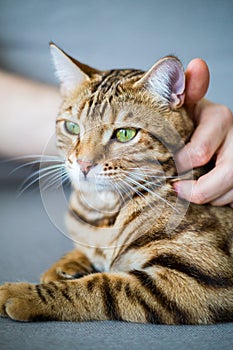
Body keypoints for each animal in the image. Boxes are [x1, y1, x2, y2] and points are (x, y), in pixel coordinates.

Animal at [0, 42, 233, 324]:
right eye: (72, 128)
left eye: (124, 134)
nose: (83, 164)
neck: (104, 211)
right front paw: (66, 265)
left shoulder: (199, 281)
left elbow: (101, 286)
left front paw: (23, 294)